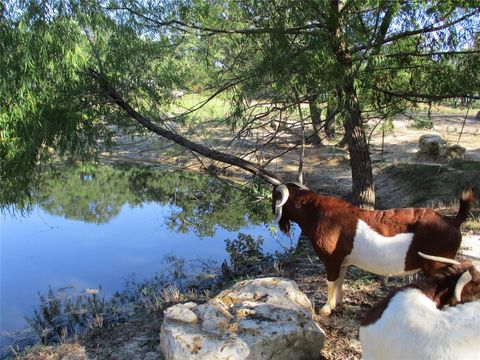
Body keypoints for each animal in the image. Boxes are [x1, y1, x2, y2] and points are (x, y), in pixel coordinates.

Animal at [272, 183, 474, 316]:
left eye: (275, 198)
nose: (275, 216)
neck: (318, 213)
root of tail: (452, 222)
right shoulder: (342, 262)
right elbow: (340, 280)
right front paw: (337, 302)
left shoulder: (331, 261)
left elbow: (331, 282)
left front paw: (326, 309)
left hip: (437, 263)